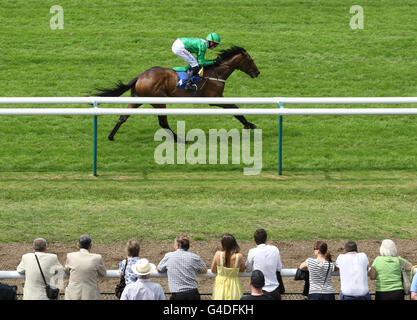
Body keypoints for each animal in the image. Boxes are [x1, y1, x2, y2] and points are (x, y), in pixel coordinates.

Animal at [92, 46, 258, 141]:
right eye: (250, 60)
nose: (257, 73)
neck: (216, 72)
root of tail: (140, 76)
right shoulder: (215, 97)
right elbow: (235, 108)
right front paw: (249, 124)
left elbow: (234, 108)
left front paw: (249, 124)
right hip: (159, 100)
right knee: (163, 122)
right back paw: (179, 139)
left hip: (138, 99)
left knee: (123, 117)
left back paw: (111, 136)